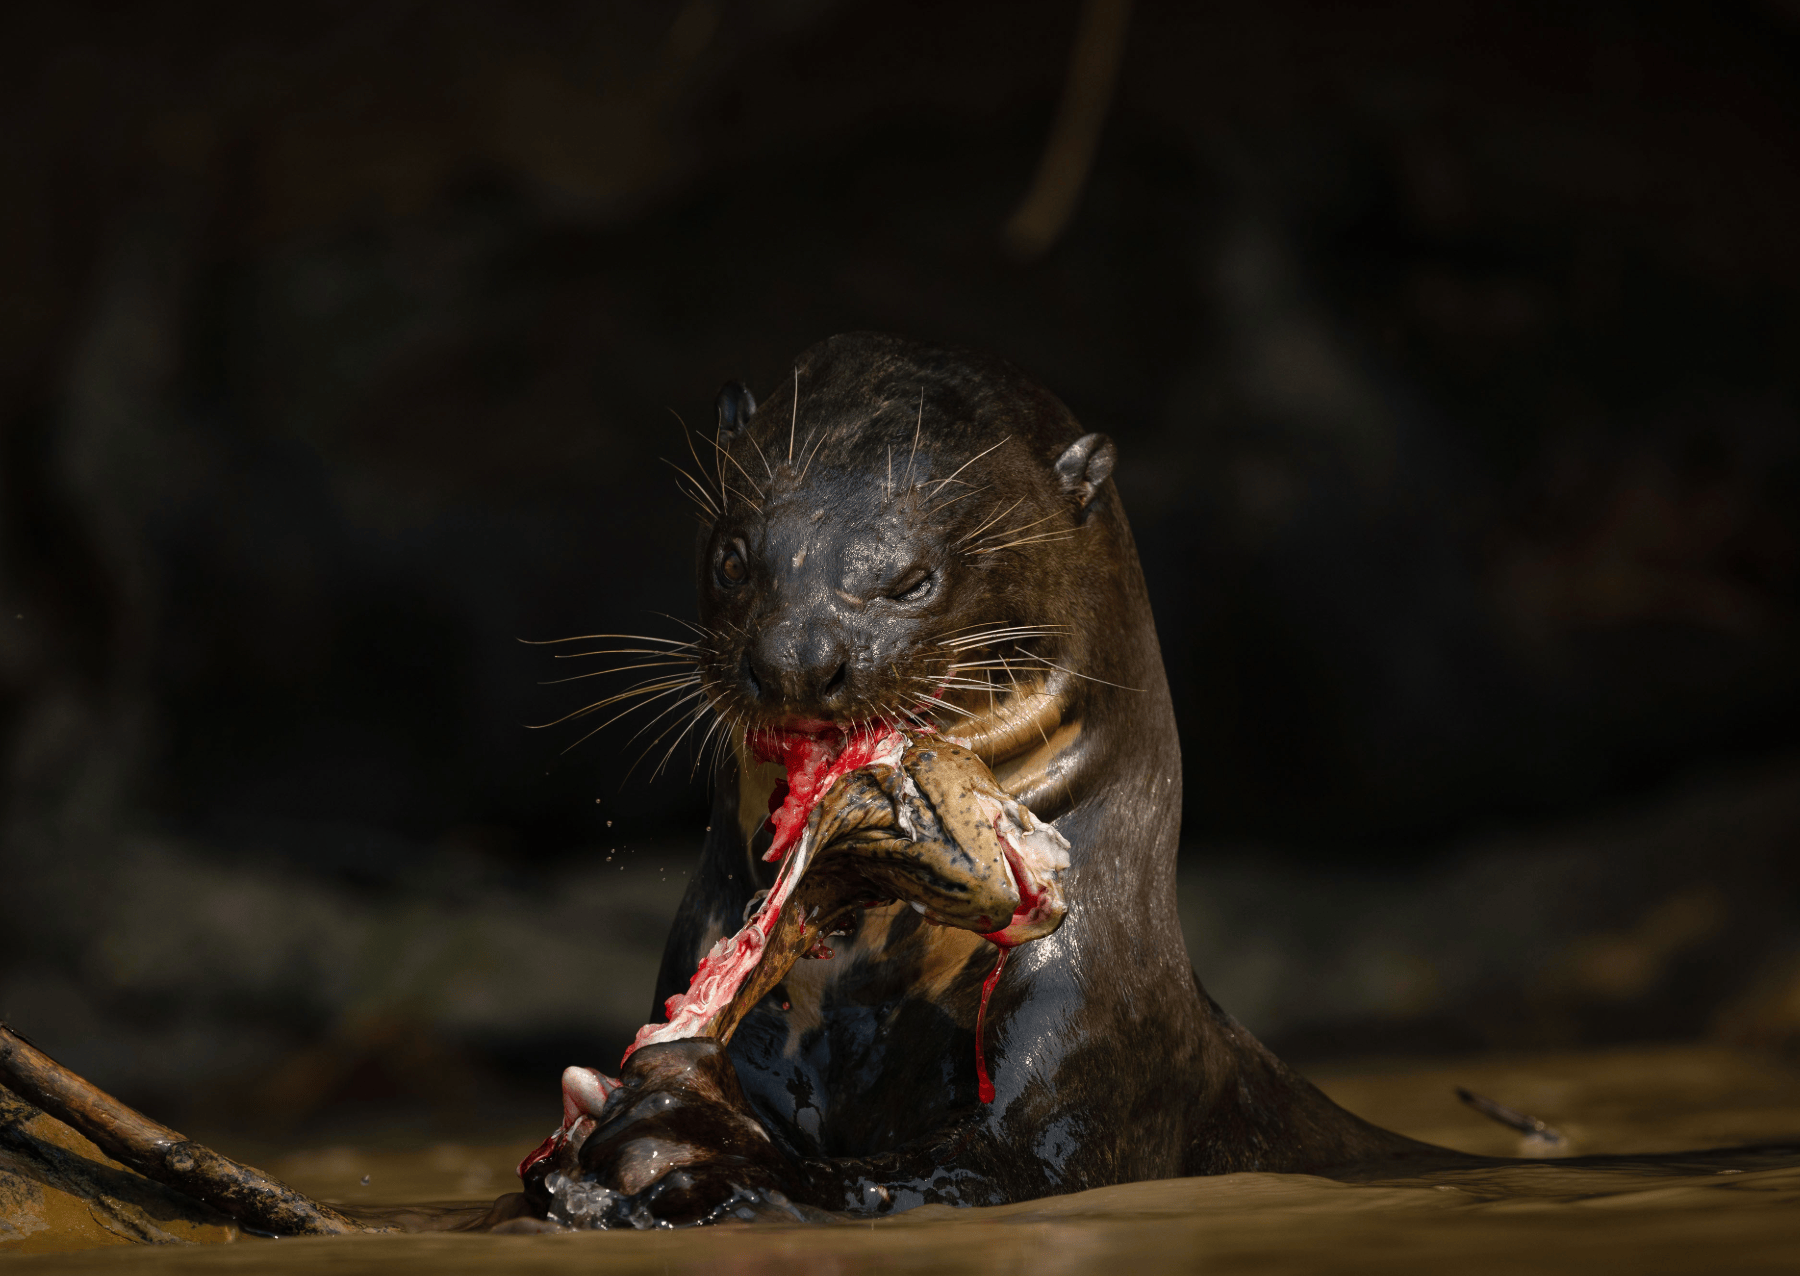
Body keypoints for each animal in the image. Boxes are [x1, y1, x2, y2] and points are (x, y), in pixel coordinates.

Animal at [517, 332, 1429, 1226]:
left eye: (913, 580)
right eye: (735, 558)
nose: (794, 660)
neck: (864, 984)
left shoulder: (1089, 1055)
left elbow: (960, 1174)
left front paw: (690, 1129)